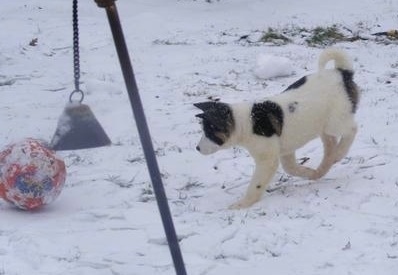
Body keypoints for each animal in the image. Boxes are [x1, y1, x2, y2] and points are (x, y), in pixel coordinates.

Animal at [194, 49, 360, 209]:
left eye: (209, 132)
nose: (197, 148)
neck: (245, 121)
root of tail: (342, 73)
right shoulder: (286, 151)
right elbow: (290, 168)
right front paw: (310, 173)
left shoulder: (267, 160)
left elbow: (257, 184)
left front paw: (243, 204)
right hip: (324, 124)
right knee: (330, 143)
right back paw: (323, 167)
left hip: (336, 121)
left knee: (352, 129)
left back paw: (339, 153)